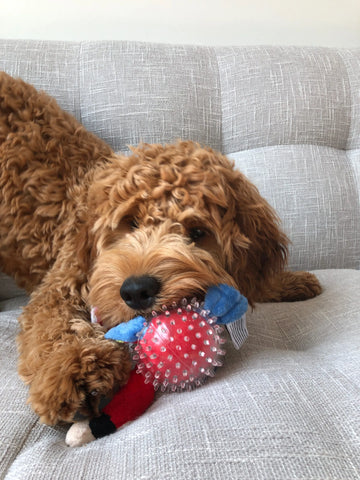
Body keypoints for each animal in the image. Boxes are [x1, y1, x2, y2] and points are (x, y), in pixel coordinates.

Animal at [0, 71, 320, 424]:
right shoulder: (62, 283)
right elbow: (52, 325)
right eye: (130, 222)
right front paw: (75, 369)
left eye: (197, 232)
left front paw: (290, 282)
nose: (136, 290)